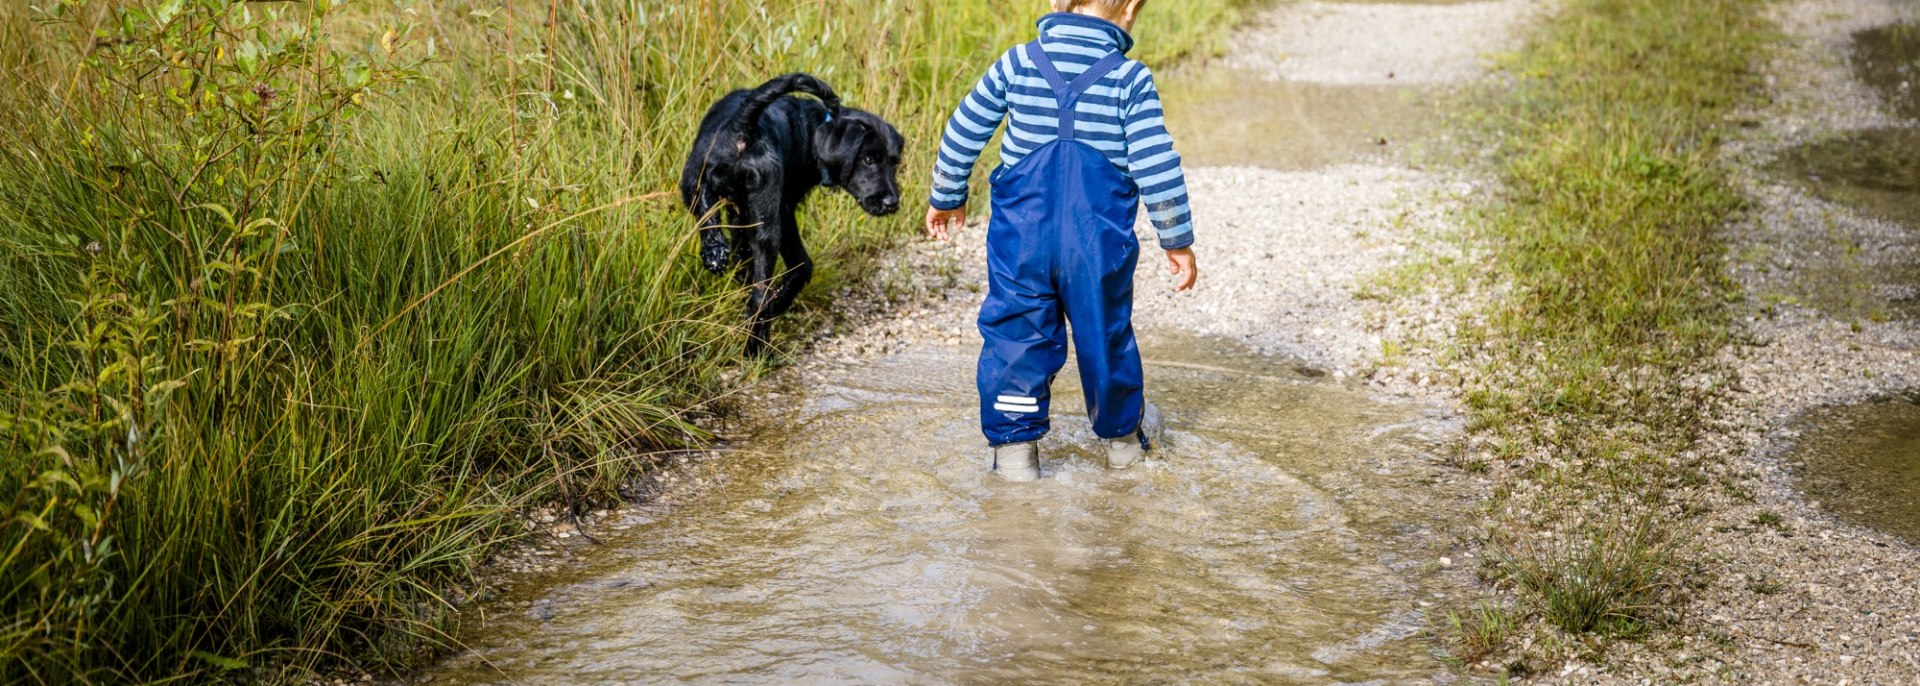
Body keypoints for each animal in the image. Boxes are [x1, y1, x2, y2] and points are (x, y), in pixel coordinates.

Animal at [683, 72, 906, 355]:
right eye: (868, 159)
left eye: (894, 162)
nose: (892, 203)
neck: (813, 129)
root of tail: (741, 125)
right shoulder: (784, 209)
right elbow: (802, 265)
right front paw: (779, 303)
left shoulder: (740, 213)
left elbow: (744, 258)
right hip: (767, 220)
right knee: (760, 295)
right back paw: (758, 349)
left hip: (694, 183)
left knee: (708, 218)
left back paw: (714, 253)